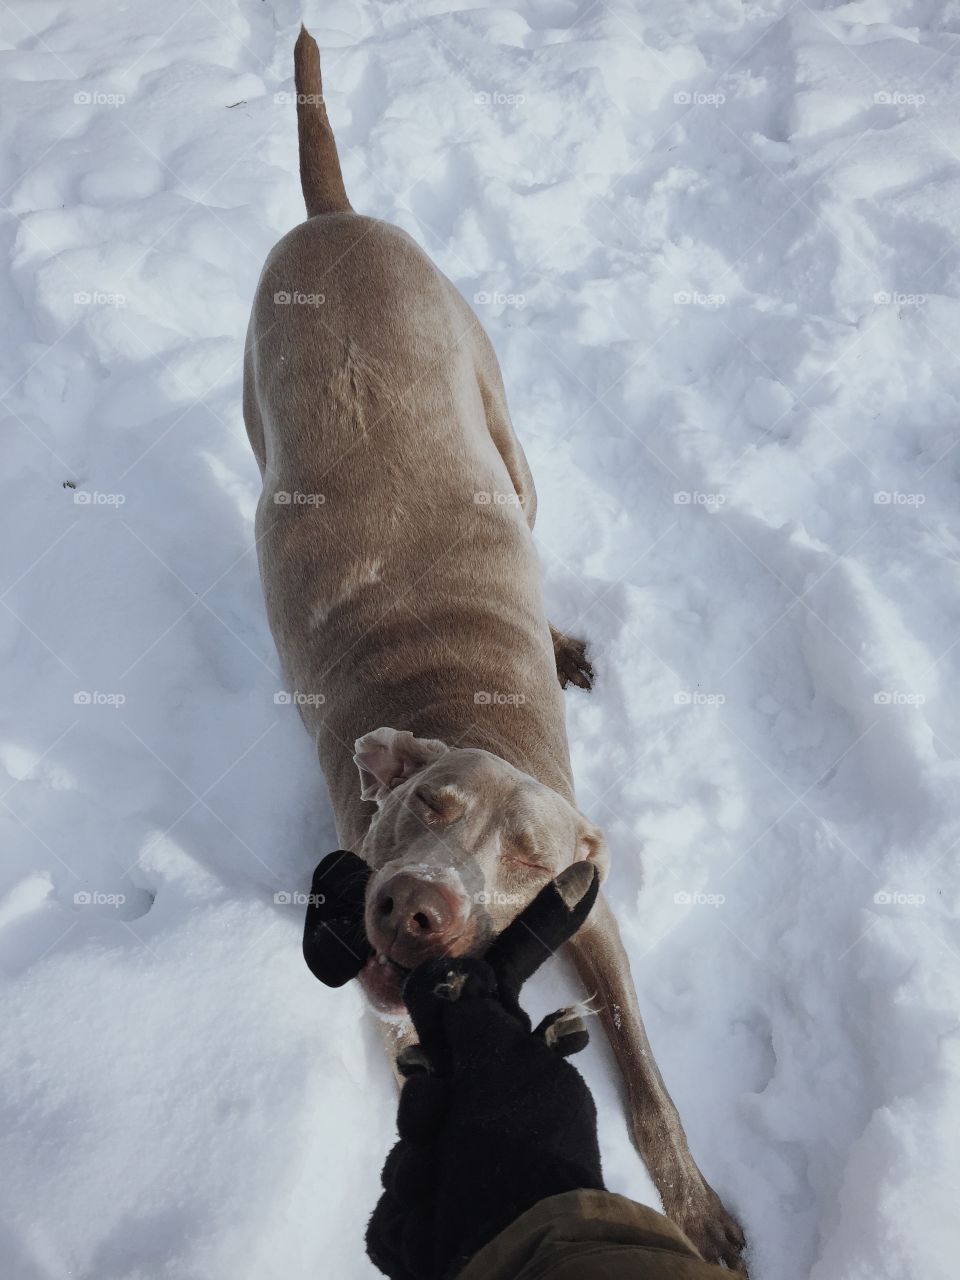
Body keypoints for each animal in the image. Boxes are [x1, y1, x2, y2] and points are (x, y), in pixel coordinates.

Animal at [244, 27, 747, 1269]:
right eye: (419, 806)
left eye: (525, 857)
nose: (419, 911)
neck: (454, 703)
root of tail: (335, 218)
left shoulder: (591, 908)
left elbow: (647, 1081)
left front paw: (695, 1207)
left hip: (505, 427)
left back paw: (562, 640)